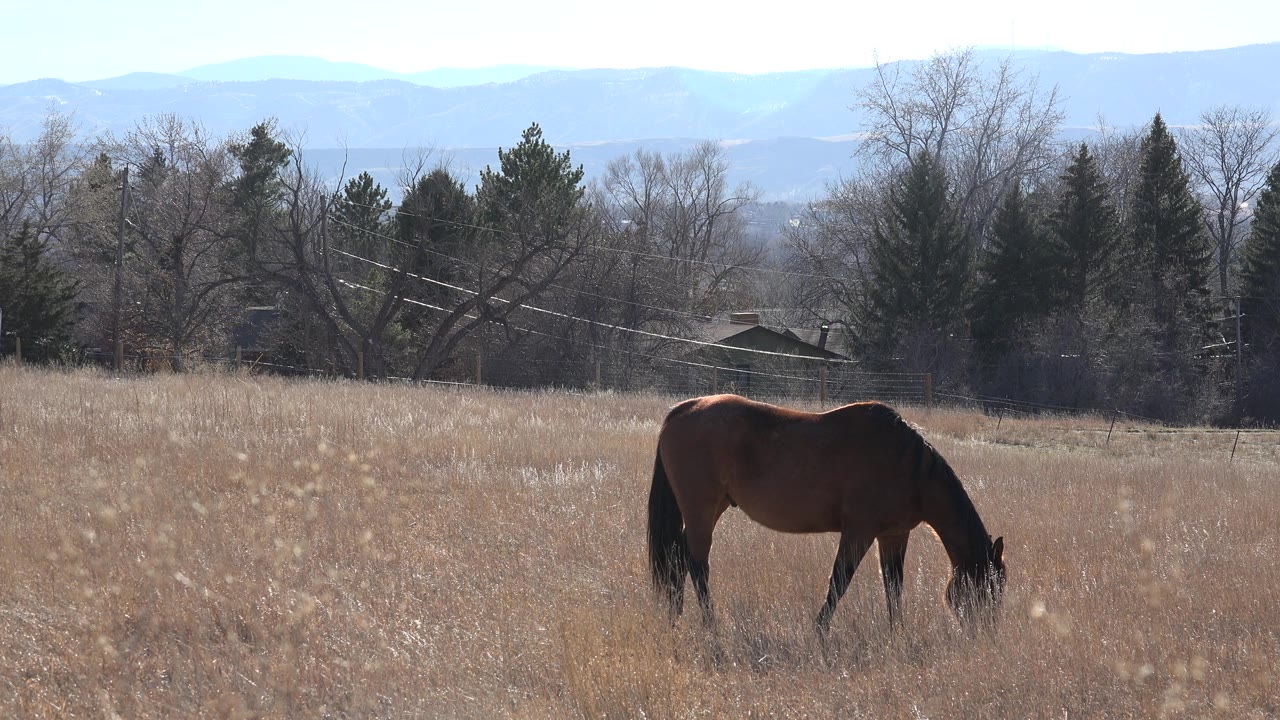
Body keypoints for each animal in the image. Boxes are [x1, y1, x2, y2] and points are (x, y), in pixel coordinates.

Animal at [647, 394, 1005, 632]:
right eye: (990, 586)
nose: (985, 633)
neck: (908, 465)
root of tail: (684, 409)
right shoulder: (859, 532)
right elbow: (839, 581)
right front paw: (820, 629)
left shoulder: (893, 535)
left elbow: (893, 586)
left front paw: (896, 632)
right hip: (701, 510)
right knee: (697, 564)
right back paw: (711, 624)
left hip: (710, 508)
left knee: (678, 557)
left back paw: (675, 614)